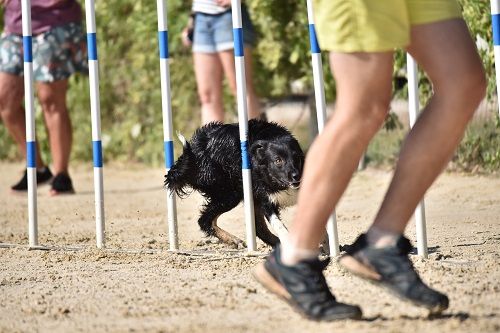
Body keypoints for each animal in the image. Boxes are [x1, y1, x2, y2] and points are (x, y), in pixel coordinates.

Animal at [165, 119, 304, 246]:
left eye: (297, 157)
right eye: (278, 160)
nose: (296, 176)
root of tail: (193, 153)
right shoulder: (265, 198)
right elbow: (278, 224)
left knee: (259, 228)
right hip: (229, 194)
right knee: (204, 220)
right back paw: (232, 239)